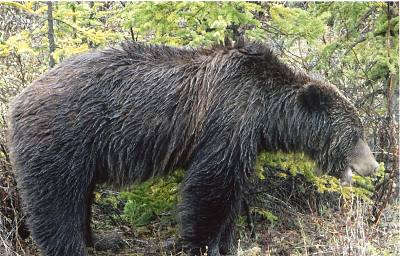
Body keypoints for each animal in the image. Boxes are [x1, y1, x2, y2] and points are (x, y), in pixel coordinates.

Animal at [8, 41, 378, 255]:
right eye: (355, 133)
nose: (374, 167)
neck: (265, 113)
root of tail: (18, 99)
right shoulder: (226, 121)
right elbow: (210, 189)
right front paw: (204, 244)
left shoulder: (245, 138)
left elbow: (232, 192)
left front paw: (228, 243)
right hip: (63, 139)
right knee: (57, 201)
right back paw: (71, 246)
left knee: (81, 196)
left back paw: (97, 239)